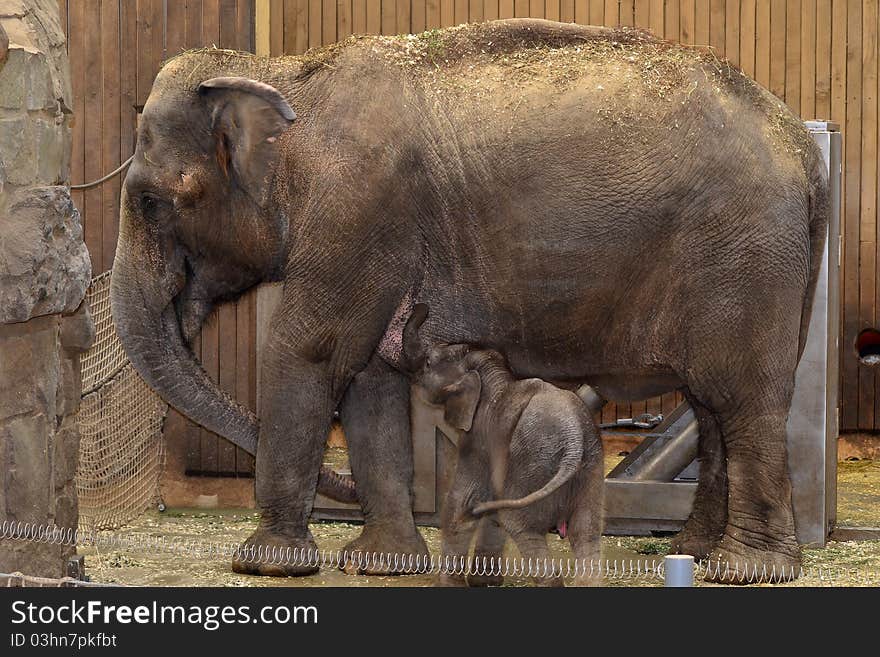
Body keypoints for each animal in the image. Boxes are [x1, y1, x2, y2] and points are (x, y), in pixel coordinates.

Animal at [402, 302, 600, 584]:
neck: (488, 367)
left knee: (520, 523)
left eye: (429, 362)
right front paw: (482, 582)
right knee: (586, 532)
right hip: (590, 465)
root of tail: (573, 440)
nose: (423, 306)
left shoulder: (477, 439)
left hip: (534, 460)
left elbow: (461, 505)